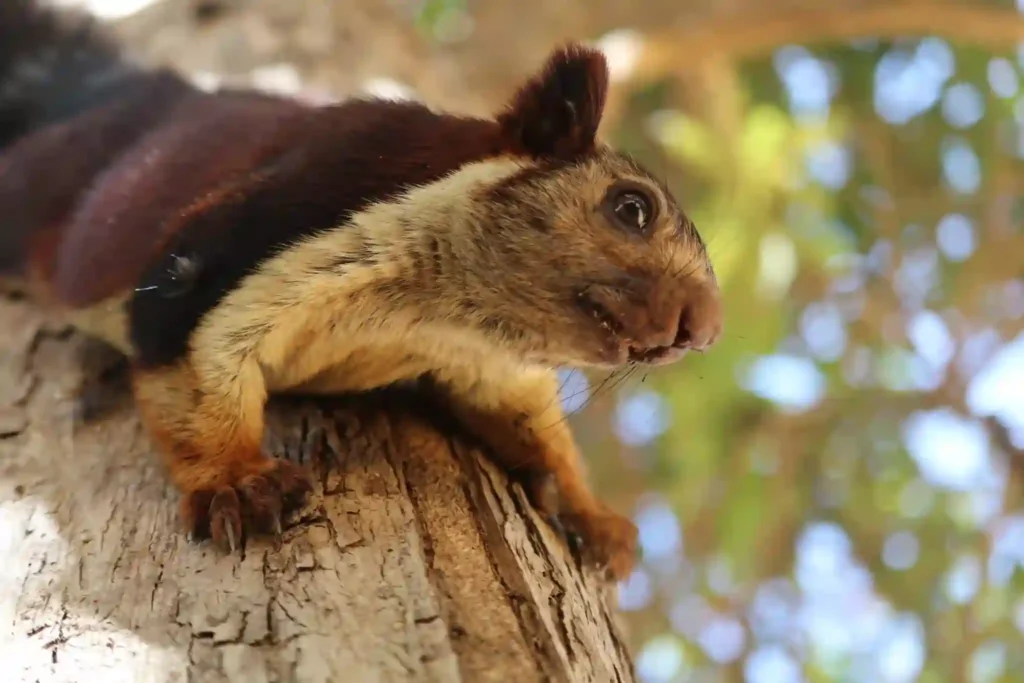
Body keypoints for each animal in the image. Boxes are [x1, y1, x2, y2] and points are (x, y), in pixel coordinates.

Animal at [0, 0, 722, 580]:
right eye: (632, 208)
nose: (707, 328)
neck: (432, 315)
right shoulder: (233, 250)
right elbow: (189, 366)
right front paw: (238, 481)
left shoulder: (488, 363)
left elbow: (532, 421)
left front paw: (589, 512)